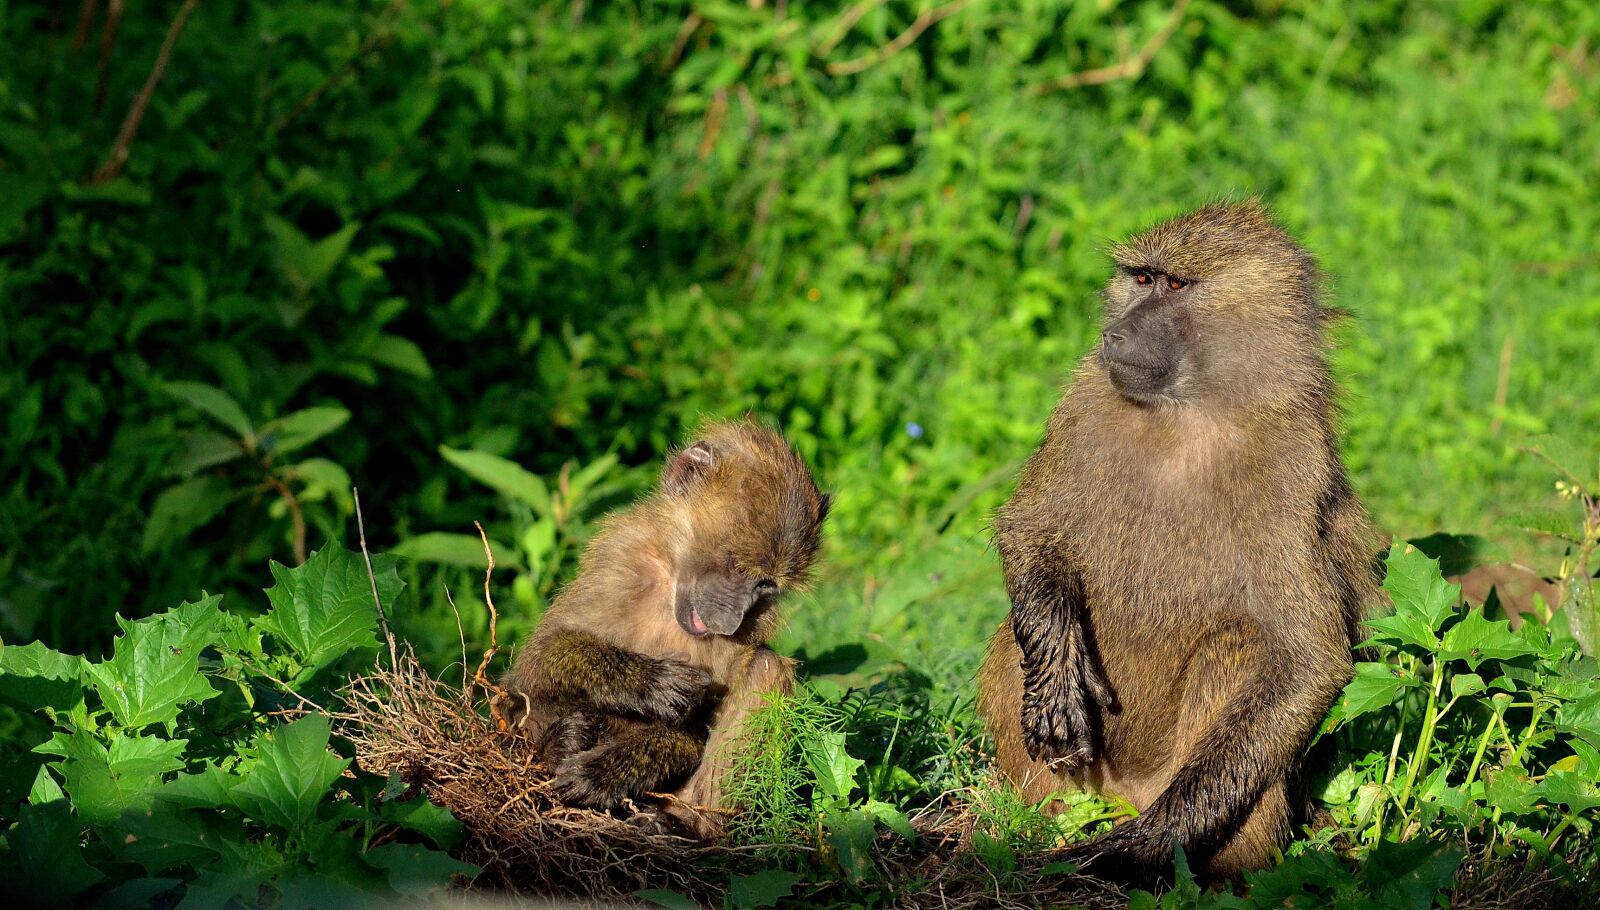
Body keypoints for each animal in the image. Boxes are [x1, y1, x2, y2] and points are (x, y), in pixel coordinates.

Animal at [501, 419, 830, 834]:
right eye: (736, 567)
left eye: (765, 584)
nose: (730, 621)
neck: (670, 580)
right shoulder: (621, 559)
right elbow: (531, 668)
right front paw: (648, 682)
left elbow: (693, 732)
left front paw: (605, 772)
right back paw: (562, 743)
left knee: (765, 667)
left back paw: (682, 823)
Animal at [976, 199, 1380, 882]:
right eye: (1141, 279)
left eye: (1176, 286)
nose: (1114, 337)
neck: (1189, 412)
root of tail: (1124, 794)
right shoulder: (1083, 402)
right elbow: (1029, 528)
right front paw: (1057, 678)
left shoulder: (1293, 469)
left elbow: (1308, 660)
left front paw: (1142, 848)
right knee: (1016, 635)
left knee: (1243, 642)